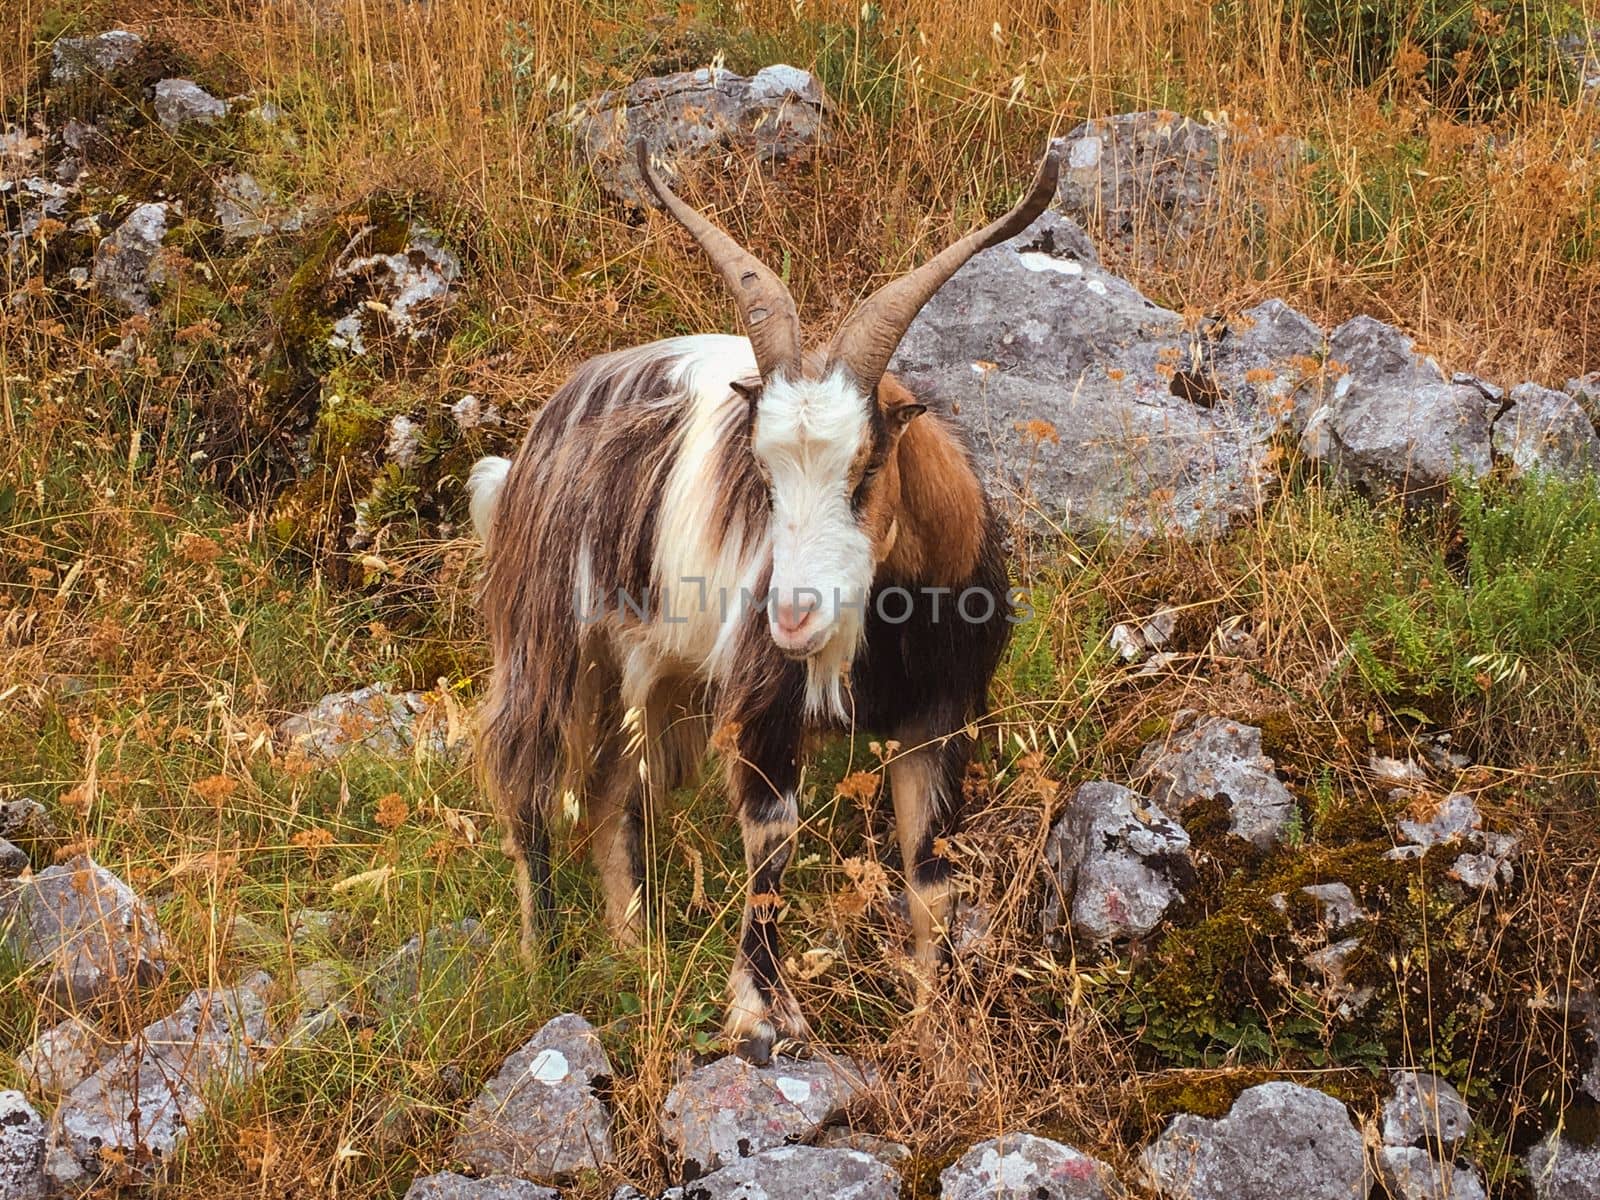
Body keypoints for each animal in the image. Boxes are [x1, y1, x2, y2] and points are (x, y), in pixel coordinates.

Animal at [467, 143, 1056, 1062]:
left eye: (865, 472)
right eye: (765, 478)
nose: (792, 619)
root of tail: (535, 440)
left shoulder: (943, 713)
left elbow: (930, 873)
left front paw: (934, 1026)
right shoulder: (765, 704)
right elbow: (771, 840)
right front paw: (762, 1016)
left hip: (659, 674)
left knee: (611, 795)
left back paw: (636, 952)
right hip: (547, 638)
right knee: (523, 777)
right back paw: (543, 957)